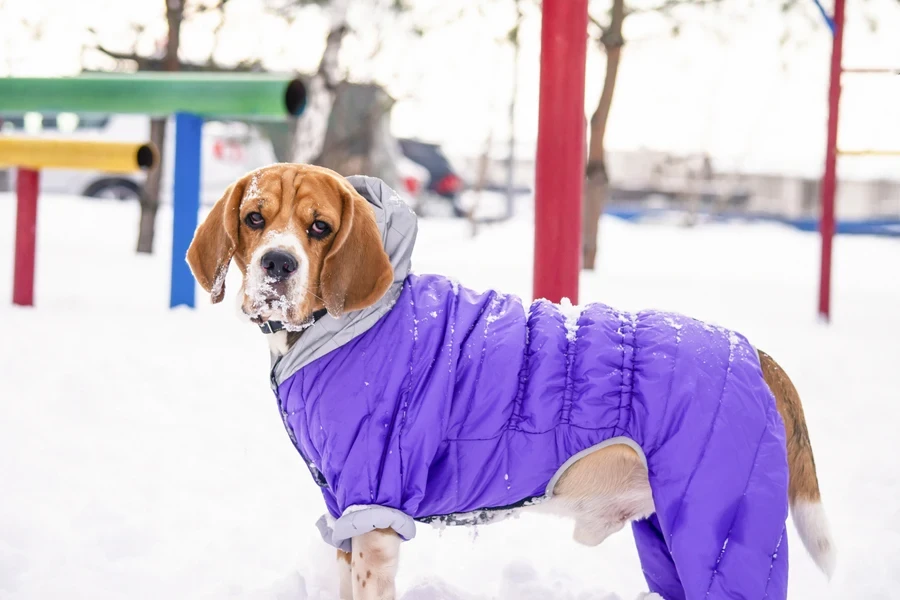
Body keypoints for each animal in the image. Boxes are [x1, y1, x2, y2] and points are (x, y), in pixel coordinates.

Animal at [186, 162, 832, 596]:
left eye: (319, 228)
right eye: (254, 219)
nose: (278, 263)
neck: (340, 325)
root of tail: (750, 350)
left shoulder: (375, 514)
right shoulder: (345, 512)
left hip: (718, 527)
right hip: (671, 536)